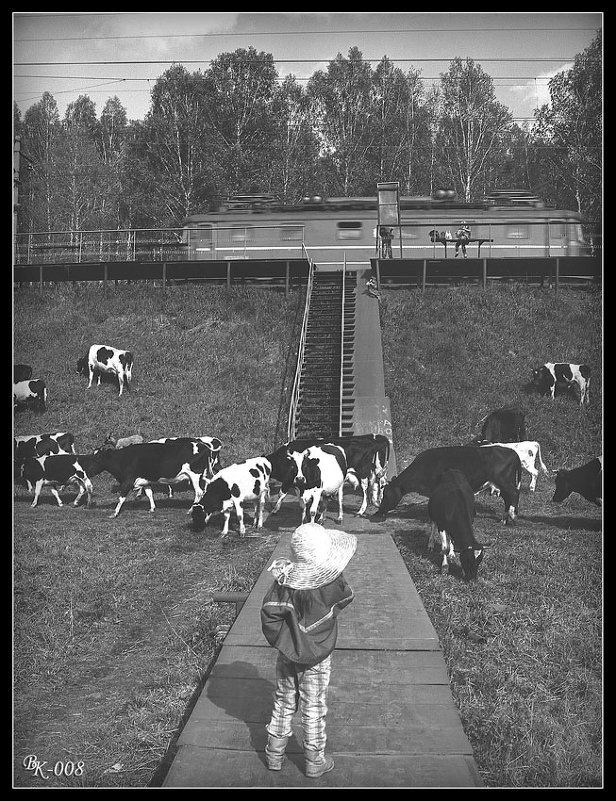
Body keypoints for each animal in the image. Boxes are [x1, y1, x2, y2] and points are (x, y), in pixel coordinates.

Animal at [372, 444, 524, 524]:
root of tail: (511, 451)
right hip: (501, 483)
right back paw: (505, 519)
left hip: (504, 481)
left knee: (514, 494)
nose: (377, 513)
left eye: (386, 495)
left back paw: (512, 517)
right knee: (508, 497)